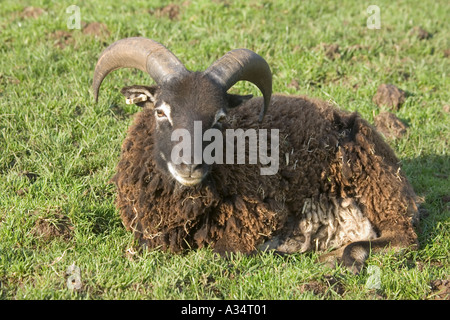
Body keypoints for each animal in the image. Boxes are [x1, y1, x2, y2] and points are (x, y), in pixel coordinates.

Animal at [91, 37, 418, 272]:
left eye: (220, 118)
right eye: (160, 111)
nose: (189, 166)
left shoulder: (255, 222)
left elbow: (219, 254)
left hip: (376, 187)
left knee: (403, 238)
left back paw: (339, 258)